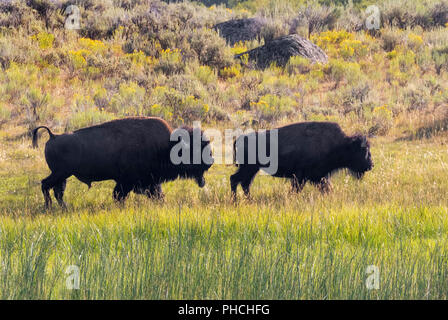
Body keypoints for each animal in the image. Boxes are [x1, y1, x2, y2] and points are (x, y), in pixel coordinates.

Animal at [32, 116, 214, 209]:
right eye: (195, 149)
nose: (211, 160)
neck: (167, 146)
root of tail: (53, 136)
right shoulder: (129, 182)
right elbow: (119, 195)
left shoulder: (148, 182)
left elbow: (156, 194)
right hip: (60, 173)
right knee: (46, 185)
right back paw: (50, 206)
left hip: (63, 175)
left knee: (56, 190)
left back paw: (63, 207)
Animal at [229, 121, 372, 199]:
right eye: (363, 150)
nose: (371, 165)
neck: (341, 144)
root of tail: (240, 138)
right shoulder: (301, 177)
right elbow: (297, 189)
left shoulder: (318, 177)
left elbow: (326, 187)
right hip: (249, 168)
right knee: (235, 180)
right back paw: (236, 201)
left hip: (252, 169)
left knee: (244, 183)